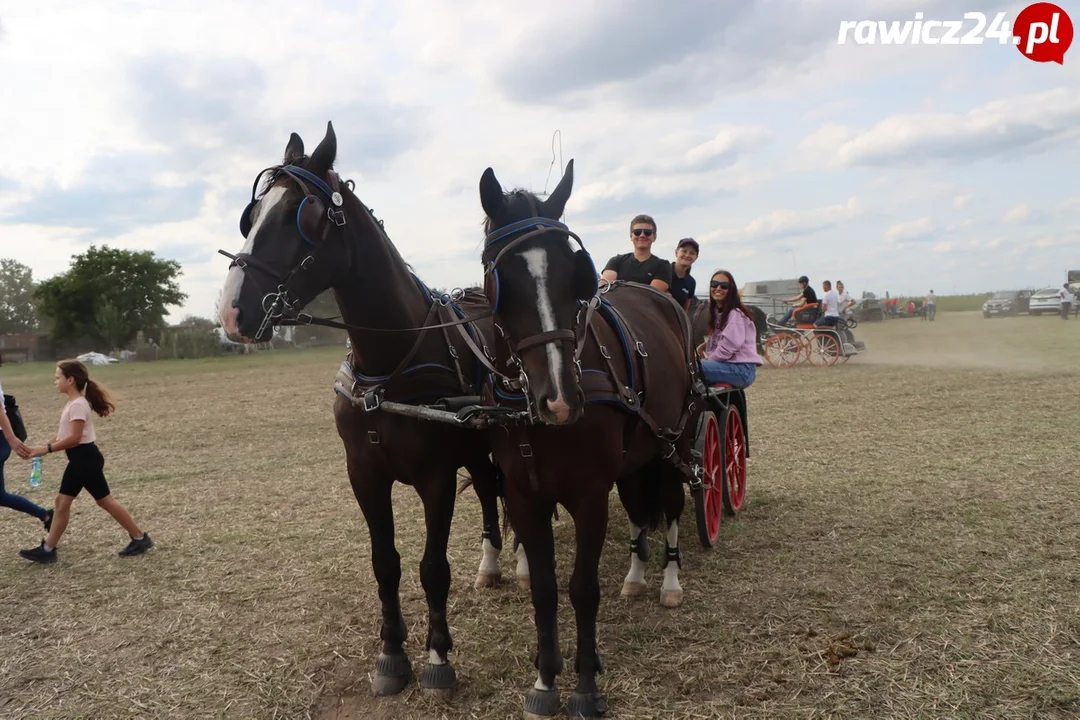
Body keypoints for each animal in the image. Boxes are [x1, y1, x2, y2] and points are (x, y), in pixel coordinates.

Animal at [219, 122, 509, 699]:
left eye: (299, 215)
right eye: (252, 214)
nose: (230, 312)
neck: (389, 365)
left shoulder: (437, 477)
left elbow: (432, 567)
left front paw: (438, 657)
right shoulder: (364, 474)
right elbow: (386, 564)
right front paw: (392, 654)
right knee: (489, 490)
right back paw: (490, 566)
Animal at [477, 160, 704, 716]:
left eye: (573, 272)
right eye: (501, 278)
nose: (559, 401)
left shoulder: (589, 496)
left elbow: (581, 589)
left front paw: (584, 685)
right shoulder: (525, 495)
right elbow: (542, 588)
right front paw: (544, 681)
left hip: (674, 442)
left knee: (670, 507)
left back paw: (667, 581)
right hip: (637, 457)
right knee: (642, 510)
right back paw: (636, 576)